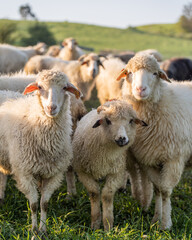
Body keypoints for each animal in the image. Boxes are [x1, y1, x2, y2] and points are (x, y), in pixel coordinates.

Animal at [0, 70, 80, 237]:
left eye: (64, 87)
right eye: (40, 87)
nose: (51, 108)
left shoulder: (52, 174)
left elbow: (44, 204)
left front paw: (43, 230)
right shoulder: (25, 173)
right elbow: (34, 205)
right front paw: (34, 231)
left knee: (2, 175)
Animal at [72, 99, 147, 231]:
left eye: (131, 121)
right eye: (108, 121)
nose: (122, 139)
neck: (105, 155)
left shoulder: (116, 173)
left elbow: (107, 195)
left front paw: (108, 225)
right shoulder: (83, 172)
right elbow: (94, 193)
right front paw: (95, 224)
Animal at [116, 53, 192, 230]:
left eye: (155, 73)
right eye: (129, 73)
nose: (140, 89)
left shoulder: (174, 159)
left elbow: (165, 191)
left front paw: (166, 224)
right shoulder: (149, 159)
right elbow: (157, 189)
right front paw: (156, 219)